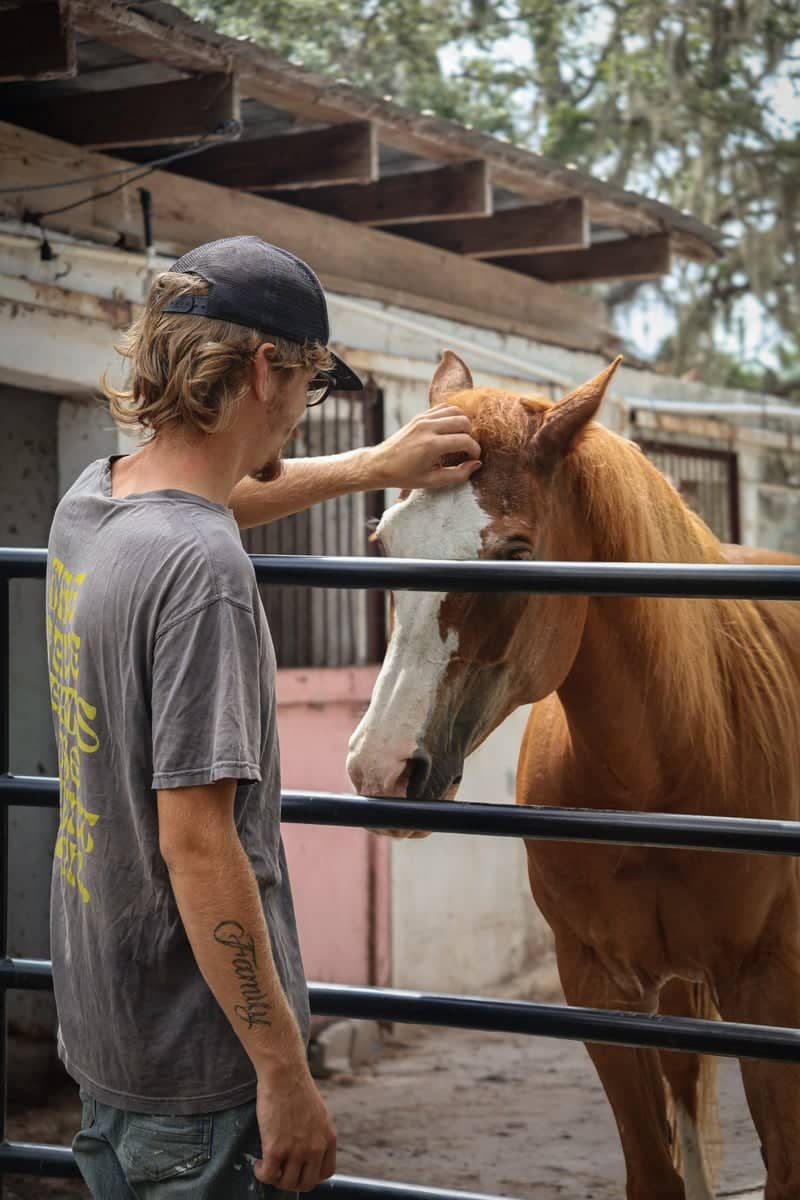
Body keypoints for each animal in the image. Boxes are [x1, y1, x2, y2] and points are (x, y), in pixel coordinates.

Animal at [346, 351, 800, 1200]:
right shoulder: (600, 990)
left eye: (516, 551)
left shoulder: (769, 993)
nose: (382, 767)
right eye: (383, 543)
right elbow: (656, 1170)